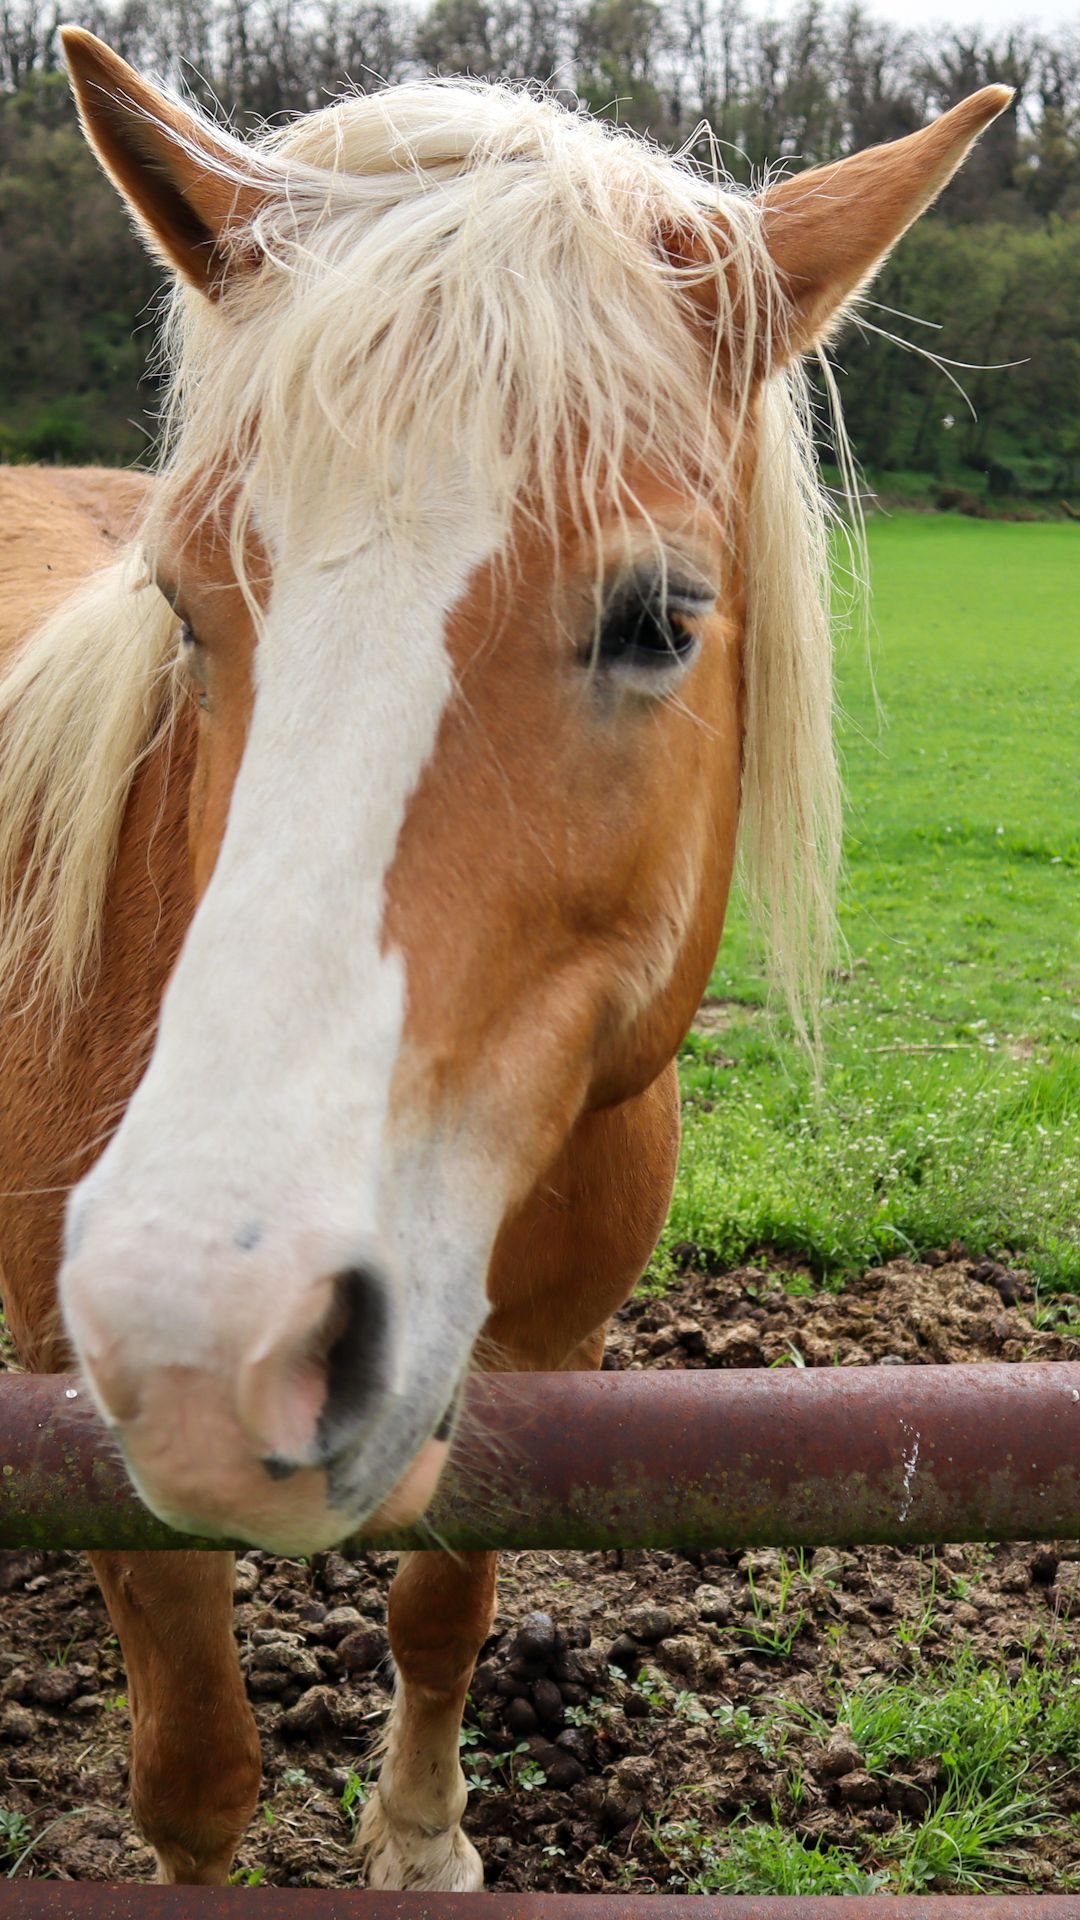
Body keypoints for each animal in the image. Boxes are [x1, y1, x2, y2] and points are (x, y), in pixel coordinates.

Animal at [0, 26, 1006, 1889]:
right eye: (185, 604)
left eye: (663, 617)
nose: (213, 1327)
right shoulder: (82, 1416)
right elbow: (197, 1768)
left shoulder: (546, 1359)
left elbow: (443, 1610)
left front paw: (419, 1840)